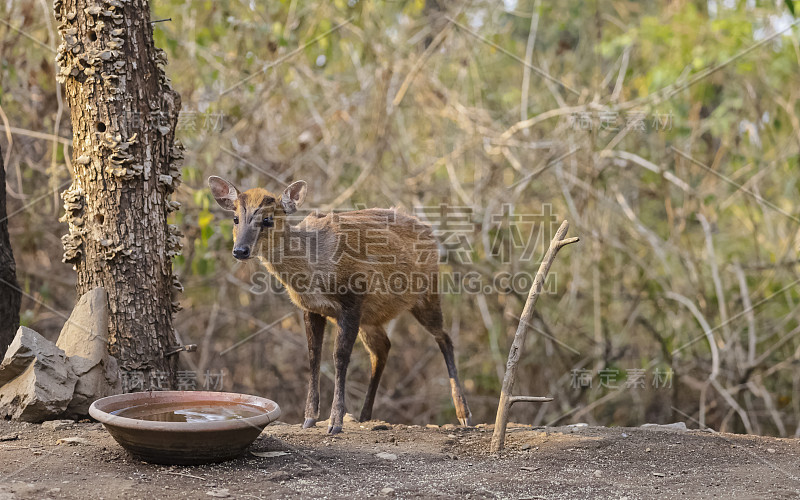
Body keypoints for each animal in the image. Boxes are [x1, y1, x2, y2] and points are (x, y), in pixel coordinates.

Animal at [209, 177, 472, 434]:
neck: (314, 270)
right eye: (235, 218)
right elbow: (314, 355)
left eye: (267, 219)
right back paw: (366, 416)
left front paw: (335, 422)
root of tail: (429, 231)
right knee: (383, 347)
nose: (240, 251)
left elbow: (340, 356)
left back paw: (464, 414)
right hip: (371, 317)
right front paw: (309, 418)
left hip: (427, 291)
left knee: (444, 338)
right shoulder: (312, 309)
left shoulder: (352, 299)